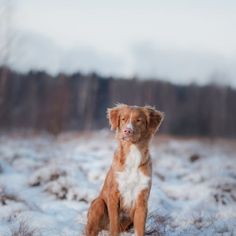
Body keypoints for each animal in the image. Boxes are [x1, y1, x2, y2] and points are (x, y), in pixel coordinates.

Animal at [85, 104, 164, 235]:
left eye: (139, 120)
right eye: (123, 119)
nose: (127, 131)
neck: (133, 154)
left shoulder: (142, 200)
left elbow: (140, 230)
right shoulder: (114, 196)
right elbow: (114, 226)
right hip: (98, 204)